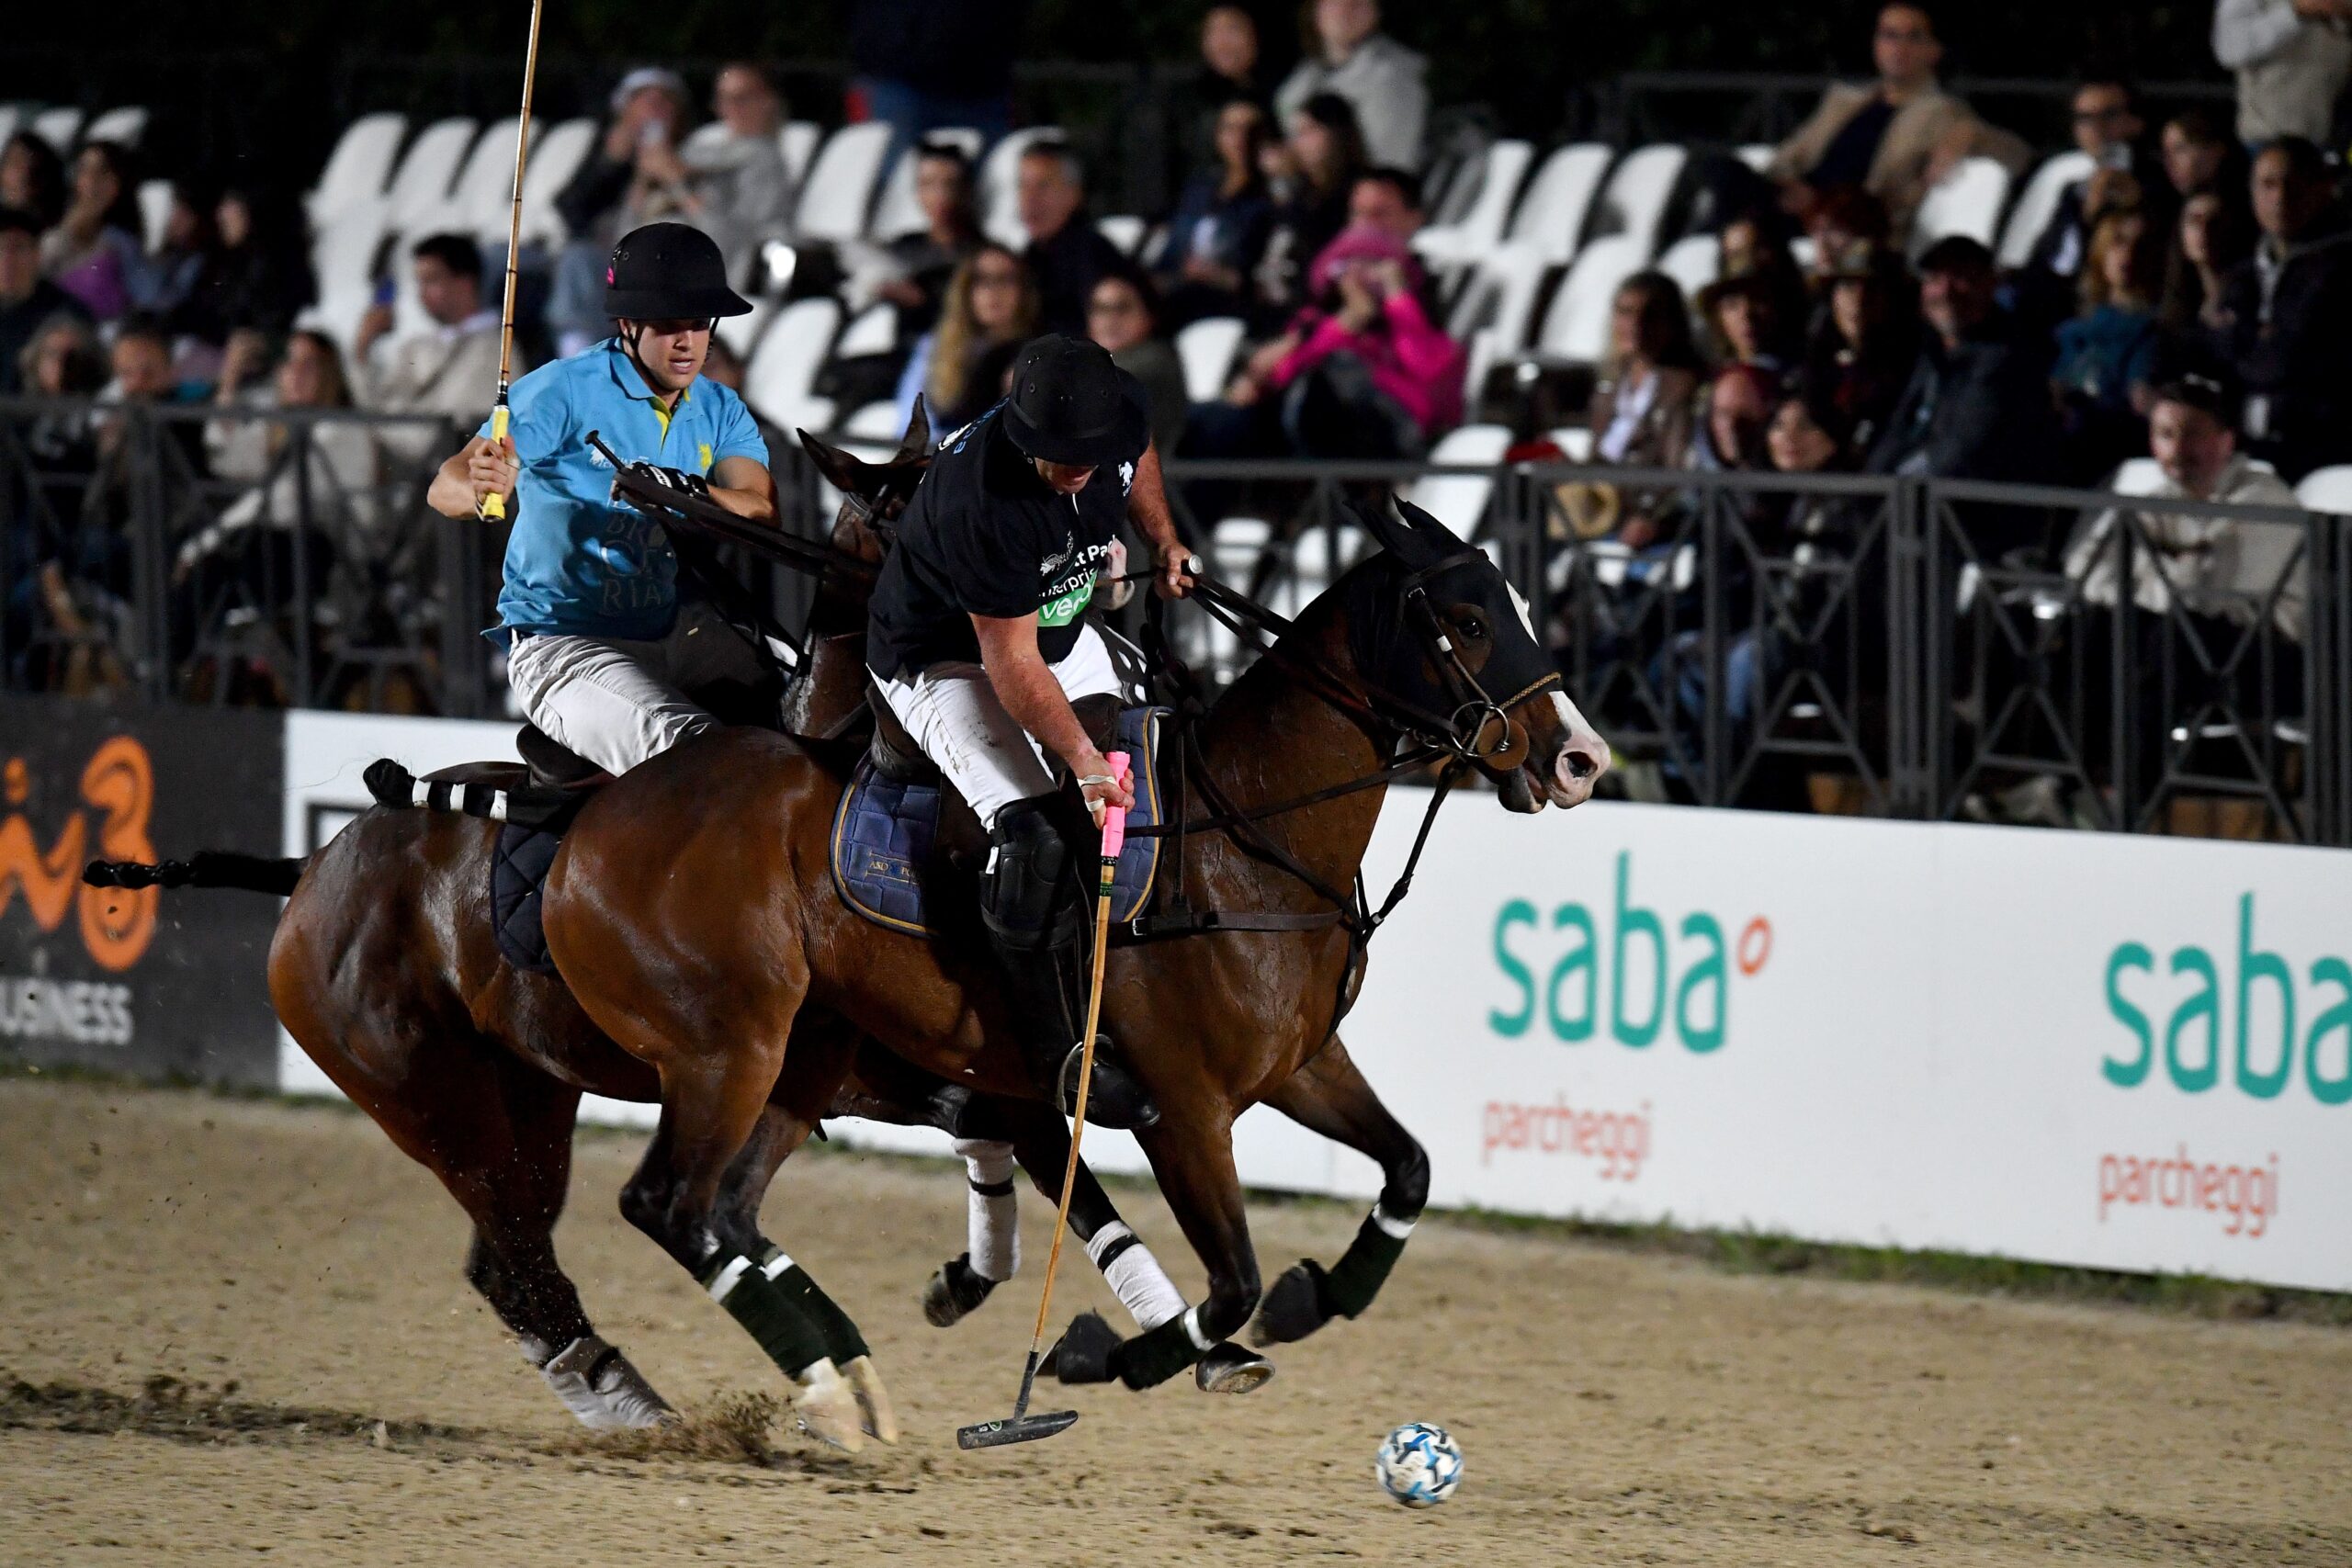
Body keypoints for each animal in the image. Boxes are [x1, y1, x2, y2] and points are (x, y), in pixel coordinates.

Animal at [532, 494, 1610, 1412]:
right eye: (1468, 621)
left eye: (1520, 607)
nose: (1581, 760)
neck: (1244, 844)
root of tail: (590, 822)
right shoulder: (1183, 1109)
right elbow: (1231, 1280)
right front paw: (1106, 1352)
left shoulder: (1301, 1065)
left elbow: (1410, 1169)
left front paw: (1312, 1299)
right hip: (727, 1046)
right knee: (670, 1204)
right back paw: (838, 1395)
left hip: (807, 1051)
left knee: (729, 1206)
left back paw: (851, 1372)